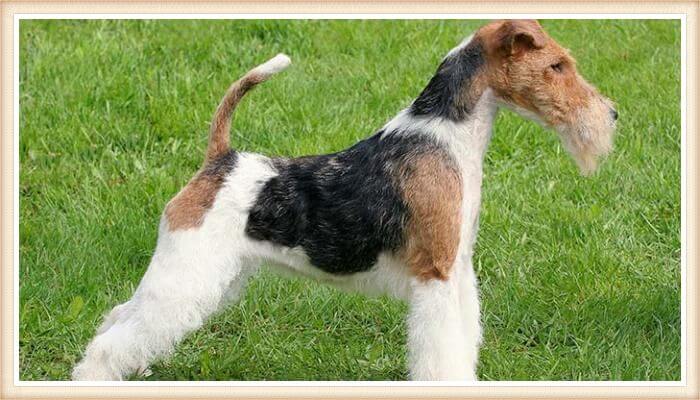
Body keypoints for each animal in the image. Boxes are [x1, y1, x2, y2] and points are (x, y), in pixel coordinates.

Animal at [74, 19, 616, 382]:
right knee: (114, 338)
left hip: (210, 274)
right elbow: (441, 351)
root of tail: (220, 159)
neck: (445, 137)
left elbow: (463, 342)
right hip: (188, 271)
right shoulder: (435, 274)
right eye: (556, 65)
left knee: (119, 318)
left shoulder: (456, 270)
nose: (611, 114)